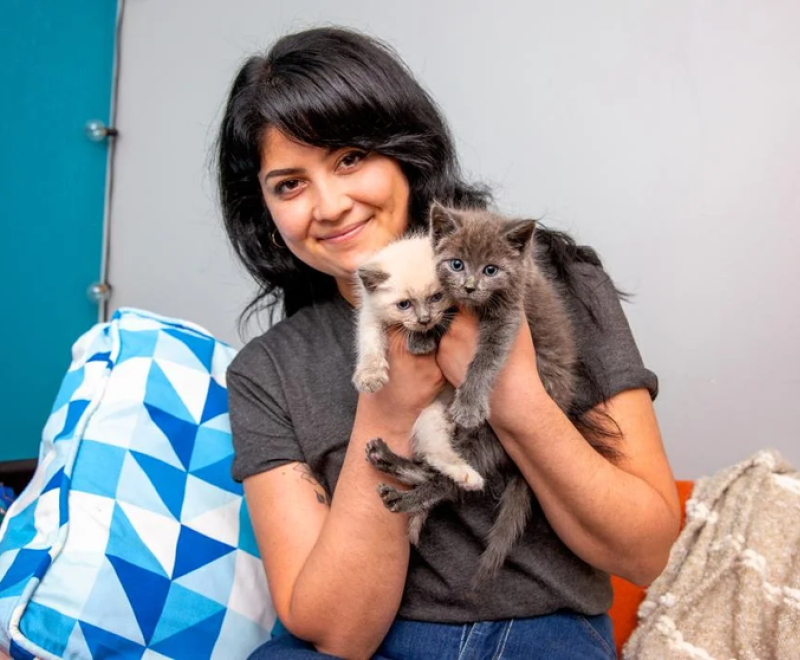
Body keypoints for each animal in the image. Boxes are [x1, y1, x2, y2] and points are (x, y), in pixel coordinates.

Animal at [354, 235, 484, 498]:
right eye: (403, 304)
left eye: (436, 297)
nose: (424, 319)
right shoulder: (370, 315)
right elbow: (370, 343)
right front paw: (370, 376)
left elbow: (444, 319)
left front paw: (420, 340)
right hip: (430, 417)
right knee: (434, 455)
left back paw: (470, 478)